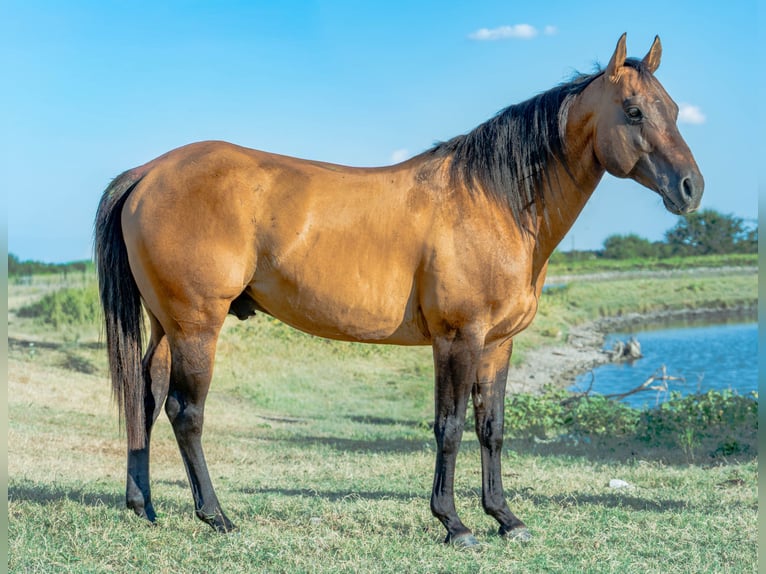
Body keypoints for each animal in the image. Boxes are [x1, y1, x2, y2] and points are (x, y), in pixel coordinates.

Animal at [94, 34, 703, 548]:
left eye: (675, 109)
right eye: (633, 110)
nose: (691, 188)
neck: (494, 200)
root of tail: (148, 173)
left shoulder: (498, 344)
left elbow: (492, 428)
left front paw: (506, 518)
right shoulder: (458, 339)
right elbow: (449, 428)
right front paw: (455, 524)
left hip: (167, 324)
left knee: (146, 395)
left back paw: (144, 505)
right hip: (198, 324)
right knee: (185, 411)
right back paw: (216, 516)